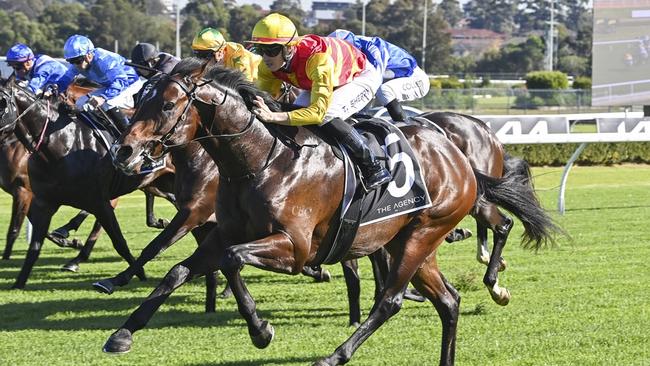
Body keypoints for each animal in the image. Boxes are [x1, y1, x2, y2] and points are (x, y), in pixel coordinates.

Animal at [105, 60, 520, 364]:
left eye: (167, 104)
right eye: (139, 100)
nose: (123, 151)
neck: (262, 159)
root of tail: (458, 154)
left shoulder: (295, 248)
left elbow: (231, 259)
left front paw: (261, 330)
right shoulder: (224, 232)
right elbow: (178, 271)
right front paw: (122, 333)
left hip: (422, 234)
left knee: (390, 300)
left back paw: (335, 355)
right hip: (410, 239)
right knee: (449, 301)